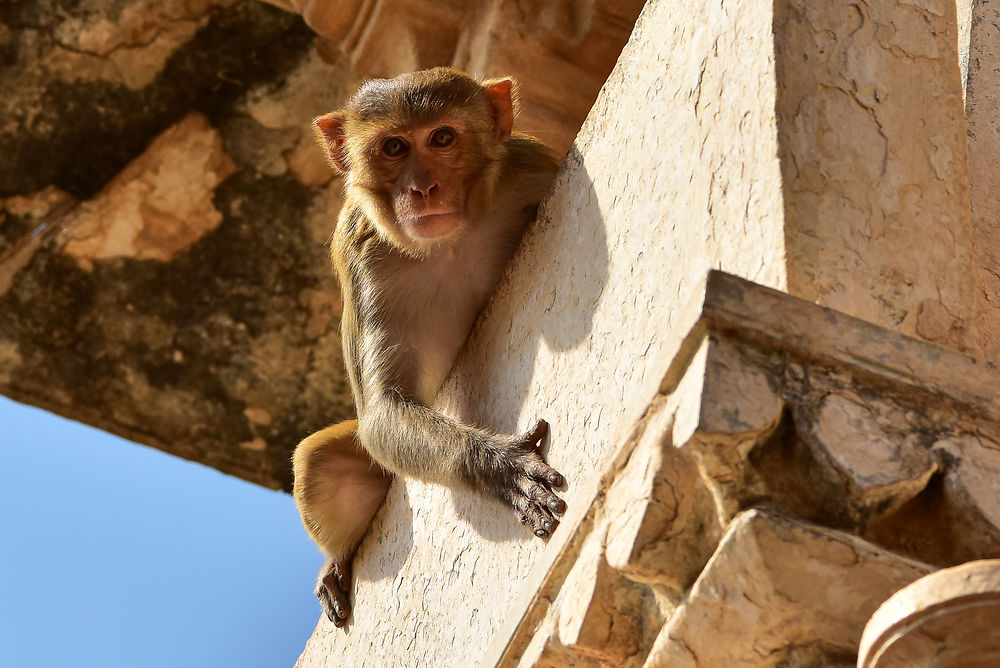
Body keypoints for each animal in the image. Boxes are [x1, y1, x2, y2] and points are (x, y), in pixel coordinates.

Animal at [292, 68, 568, 628]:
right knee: (318, 461)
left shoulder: (532, 166)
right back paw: (336, 564)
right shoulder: (365, 253)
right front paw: (500, 469)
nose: (422, 188)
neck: (451, 242)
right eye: (394, 147)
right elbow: (383, 412)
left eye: (441, 138)